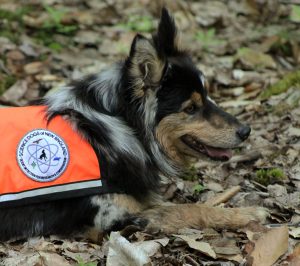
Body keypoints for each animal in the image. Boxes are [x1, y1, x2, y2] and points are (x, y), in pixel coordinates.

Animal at [0, 8, 268, 241]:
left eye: (208, 95)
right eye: (191, 108)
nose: (246, 131)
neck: (119, 126)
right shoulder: (113, 217)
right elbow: (189, 209)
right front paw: (246, 214)